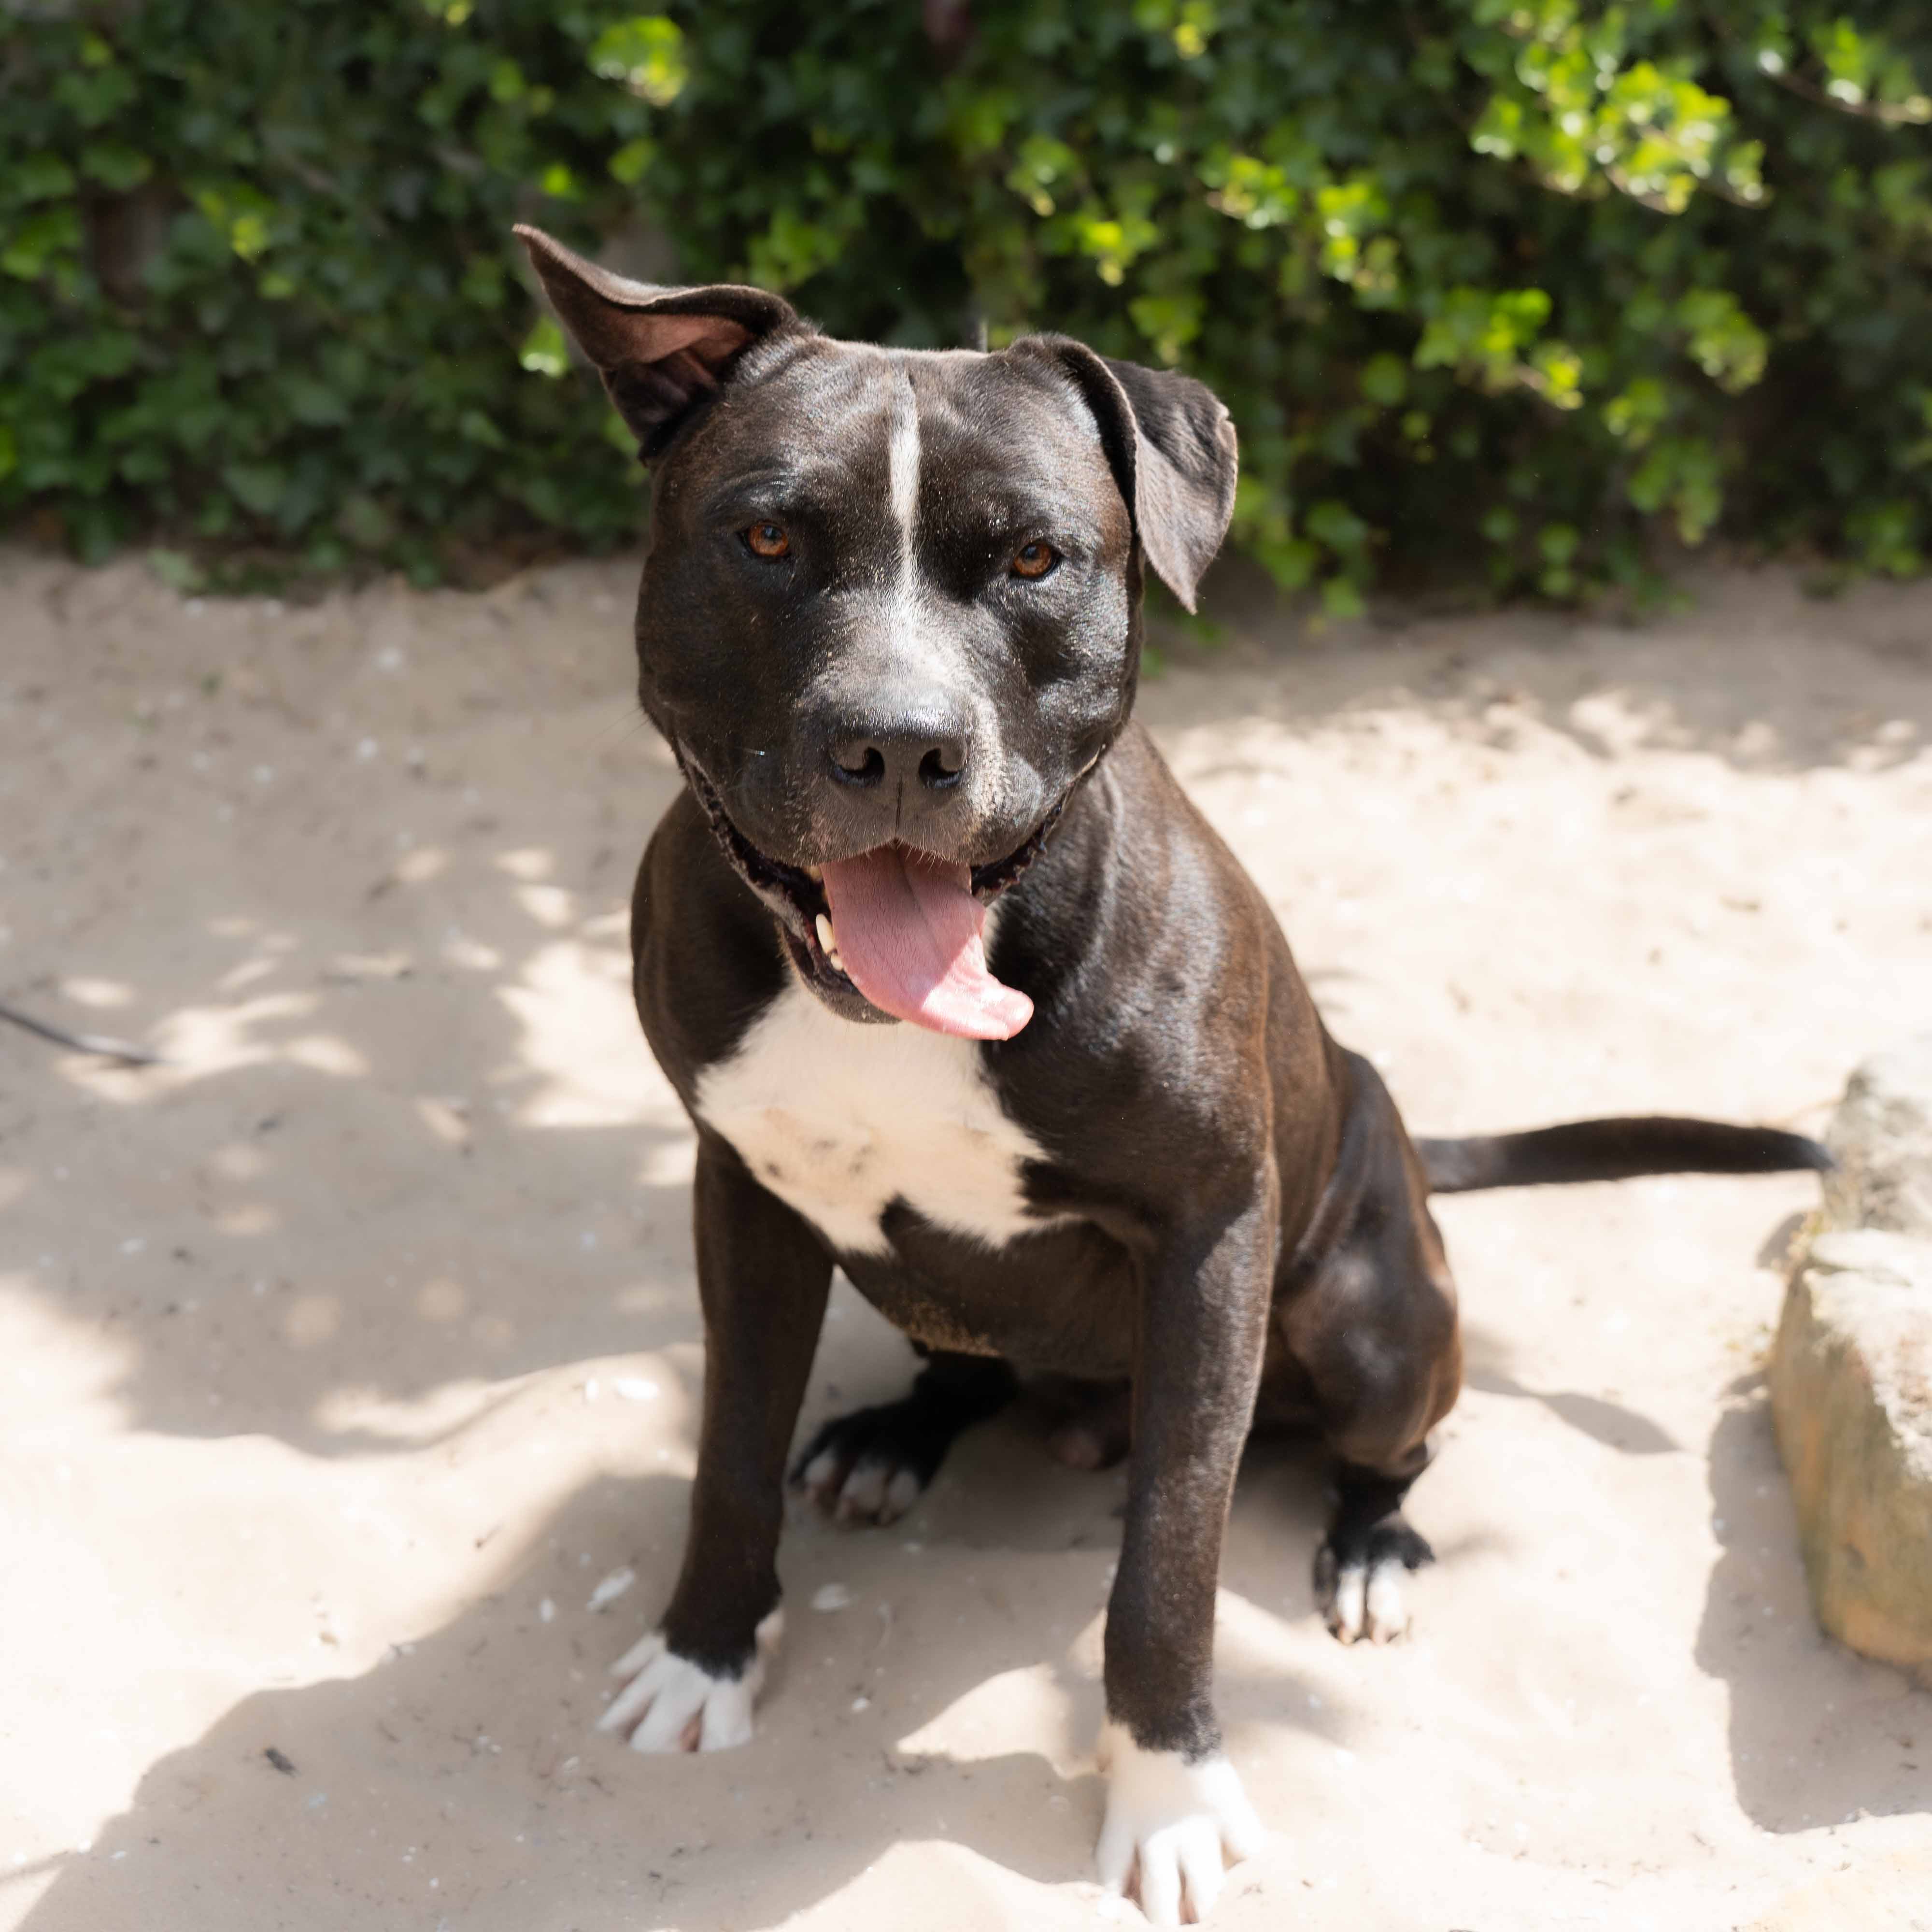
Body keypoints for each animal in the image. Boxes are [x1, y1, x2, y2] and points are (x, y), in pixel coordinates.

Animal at [514, 224, 1828, 1925]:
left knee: (1391, 1446)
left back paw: (1371, 1551)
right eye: (765, 536)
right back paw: (892, 1439)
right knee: (960, 1365)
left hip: (1370, 1313)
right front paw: (706, 1654)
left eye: (1033, 561)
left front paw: (1171, 1797)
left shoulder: (1210, 1239)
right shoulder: (741, 1192)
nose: (898, 746)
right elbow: (727, 1453)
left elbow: (1170, 1564)